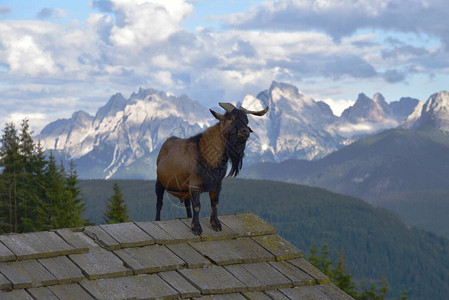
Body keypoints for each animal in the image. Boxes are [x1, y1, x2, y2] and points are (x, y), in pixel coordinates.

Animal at [155, 102, 266, 234]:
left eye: (247, 120)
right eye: (231, 119)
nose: (245, 132)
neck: (207, 155)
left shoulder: (217, 184)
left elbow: (215, 203)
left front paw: (216, 224)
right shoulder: (195, 184)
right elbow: (197, 205)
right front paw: (197, 228)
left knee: (186, 203)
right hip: (159, 182)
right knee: (159, 202)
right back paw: (157, 220)